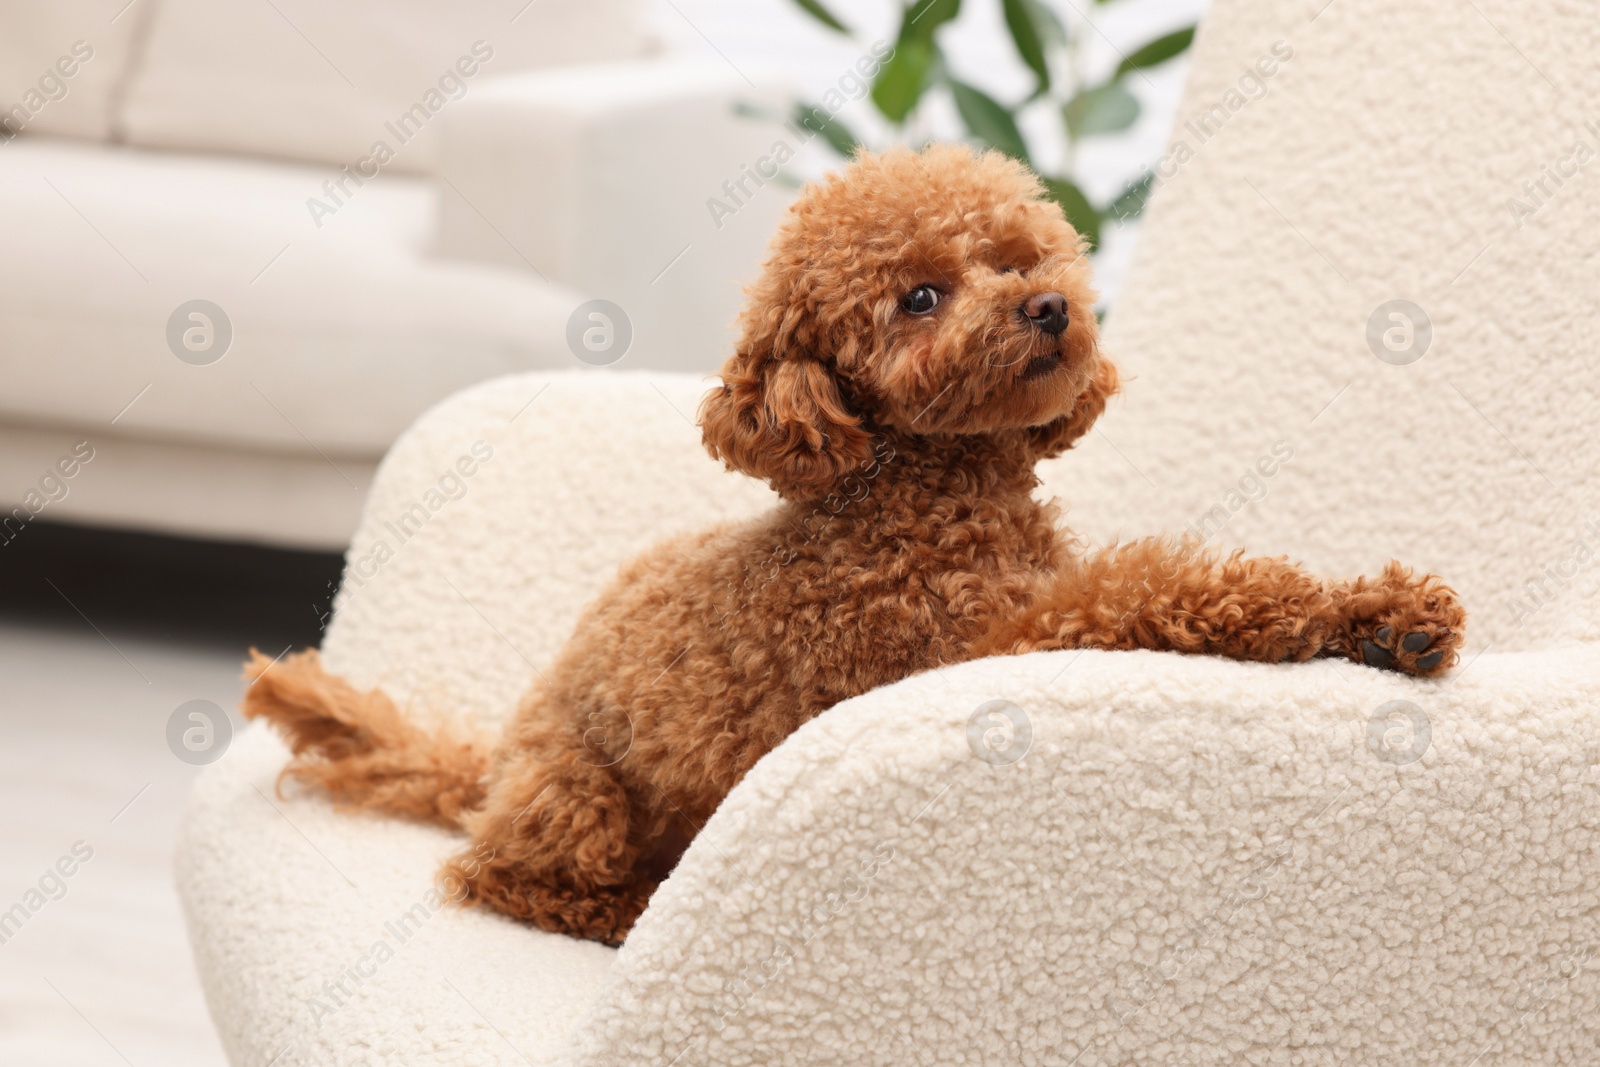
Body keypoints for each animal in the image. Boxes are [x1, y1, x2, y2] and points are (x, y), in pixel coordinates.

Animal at [246, 141, 1465, 940]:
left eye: (1018, 255)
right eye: (918, 296)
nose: (1048, 309)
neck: (927, 492)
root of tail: (493, 756)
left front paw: (1387, 615)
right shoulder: (979, 641)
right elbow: (1154, 583)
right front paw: (1346, 613)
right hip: (572, 797)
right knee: (496, 877)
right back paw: (630, 906)